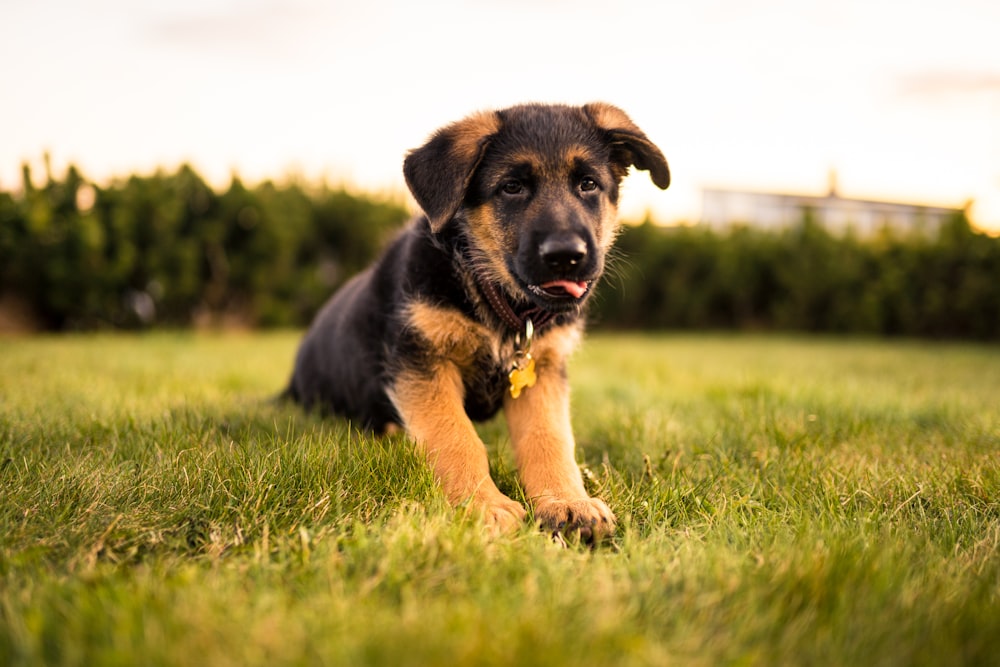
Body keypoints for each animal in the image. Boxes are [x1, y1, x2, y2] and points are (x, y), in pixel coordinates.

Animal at [286, 104, 668, 544]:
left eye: (588, 184)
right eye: (512, 188)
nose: (566, 256)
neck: (500, 307)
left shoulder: (542, 372)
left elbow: (550, 439)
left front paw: (567, 502)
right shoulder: (423, 360)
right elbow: (455, 436)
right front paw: (484, 506)